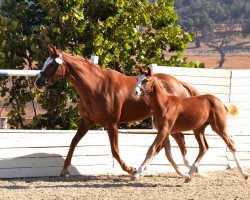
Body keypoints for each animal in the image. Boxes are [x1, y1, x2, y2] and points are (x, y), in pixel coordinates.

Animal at [34, 45, 201, 177]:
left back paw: (187, 168)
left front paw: (131, 169)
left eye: (52, 64)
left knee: (179, 140)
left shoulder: (111, 124)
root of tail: (178, 83)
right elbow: (73, 142)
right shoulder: (86, 122)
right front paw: (64, 170)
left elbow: (114, 150)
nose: (38, 82)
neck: (95, 87)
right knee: (171, 144)